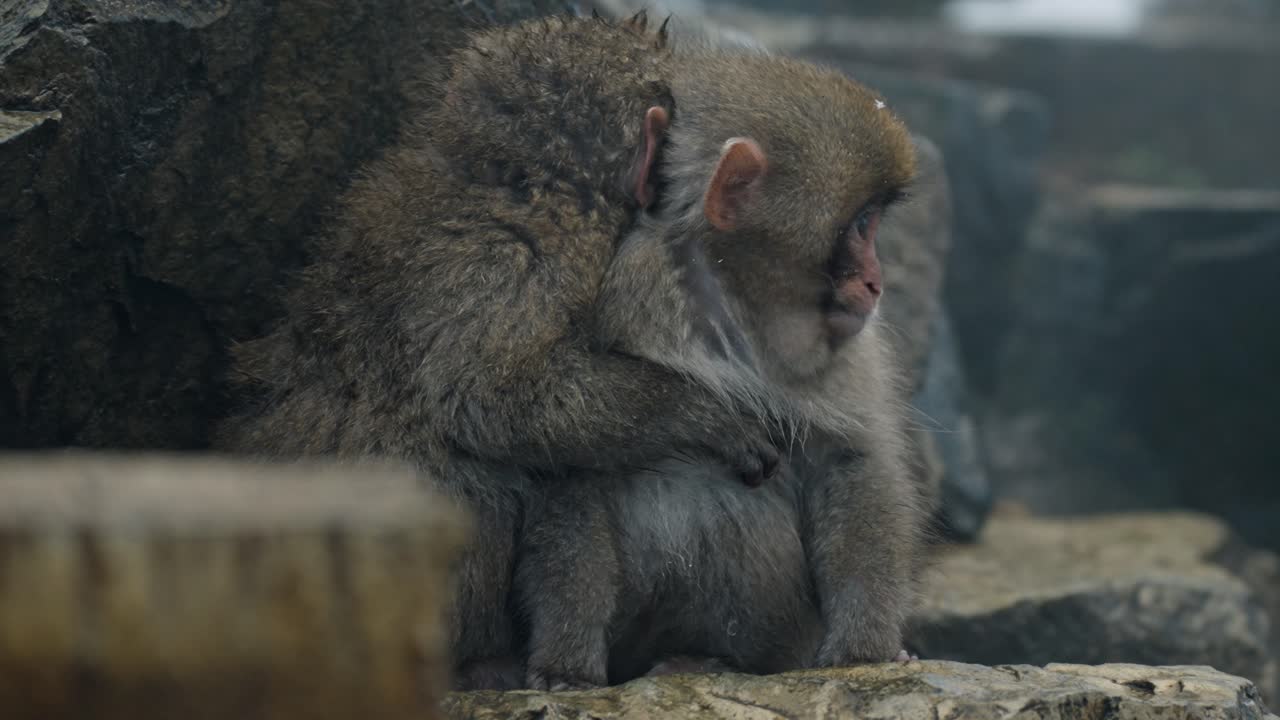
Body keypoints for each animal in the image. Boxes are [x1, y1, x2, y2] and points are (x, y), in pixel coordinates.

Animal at [515, 39, 930, 690]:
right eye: (862, 224)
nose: (875, 281)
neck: (734, 304)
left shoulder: (848, 347)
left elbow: (851, 460)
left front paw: (865, 650)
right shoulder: (625, 297)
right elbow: (574, 463)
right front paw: (564, 659)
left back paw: (710, 658)